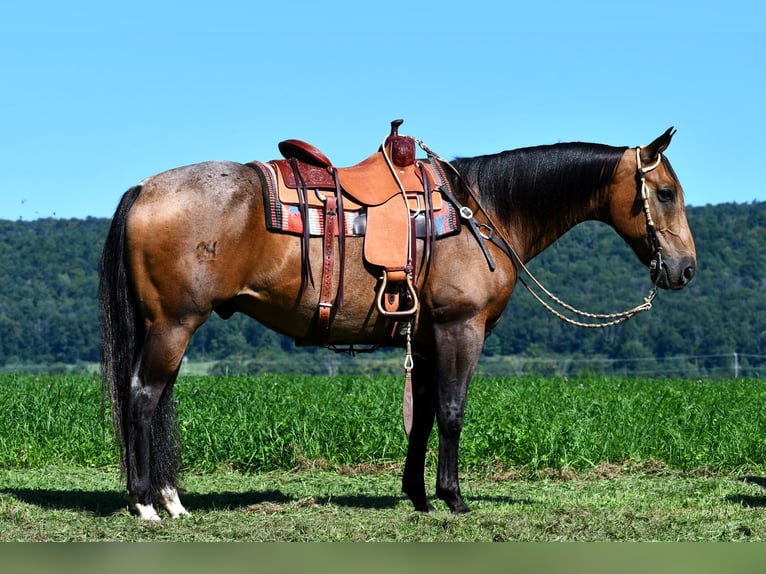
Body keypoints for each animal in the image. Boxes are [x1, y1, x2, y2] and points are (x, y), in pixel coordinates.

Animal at [99, 122, 700, 520]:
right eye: (666, 193)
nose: (685, 268)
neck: (479, 214)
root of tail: (146, 188)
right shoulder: (461, 329)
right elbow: (453, 412)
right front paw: (454, 497)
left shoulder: (430, 336)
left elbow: (426, 413)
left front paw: (418, 494)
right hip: (173, 324)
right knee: (143, 397)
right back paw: (145, 503)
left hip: (170, 327)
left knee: (155, 398)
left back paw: (170, 500)